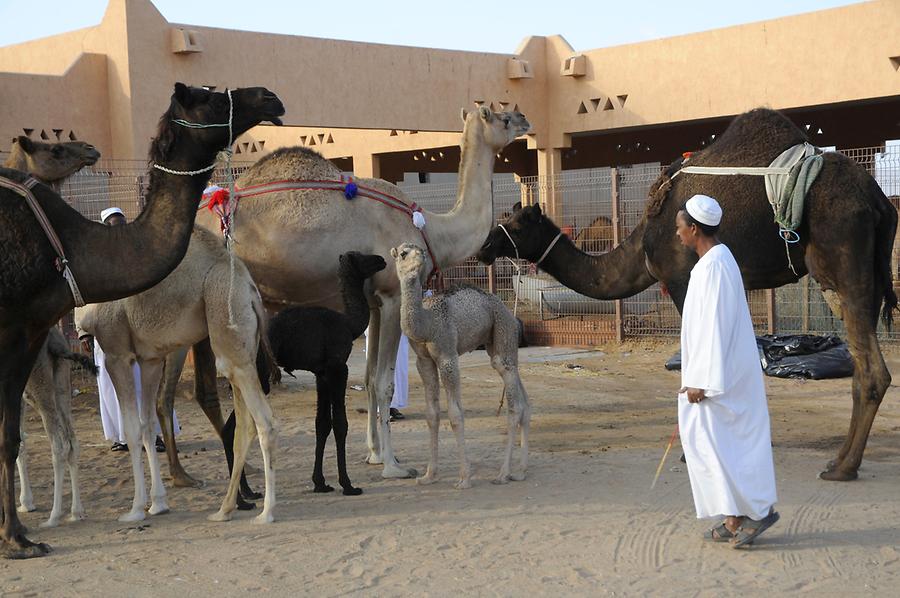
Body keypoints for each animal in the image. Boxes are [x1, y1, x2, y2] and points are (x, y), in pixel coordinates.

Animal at [77, 227, 278, 528]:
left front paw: (135, 509)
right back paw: (224, 509)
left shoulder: (117, 352)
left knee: (265, 423)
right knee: (245, 426)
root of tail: (251, 290)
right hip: (242, 346)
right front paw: (158, 504)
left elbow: (133, 430)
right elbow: (147, 425)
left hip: (224, 318)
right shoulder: (148, 359)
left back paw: (266, 513)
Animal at [392, 241, 532, 490]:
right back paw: (521, 471)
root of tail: (507, 310)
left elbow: (455, 415)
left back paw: (503, 473)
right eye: (403, 253)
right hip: (496, 343)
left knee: (513, 401)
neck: (426, 324)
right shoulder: (423, 361)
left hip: (503, 329)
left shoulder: (447, 355)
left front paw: (464, 477)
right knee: (522, 396)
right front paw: (429, 475)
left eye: (423, 251)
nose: (420, 258)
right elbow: (431, 414)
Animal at [474, 108, 896, 482]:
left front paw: (692, 451)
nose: (484, 245)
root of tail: (879, 200)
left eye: (515, 223)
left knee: (872, 370)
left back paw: (843, 467)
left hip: (843, 261)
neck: (643, 244)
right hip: (857, 275)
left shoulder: (682, 278)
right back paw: (839, 459)